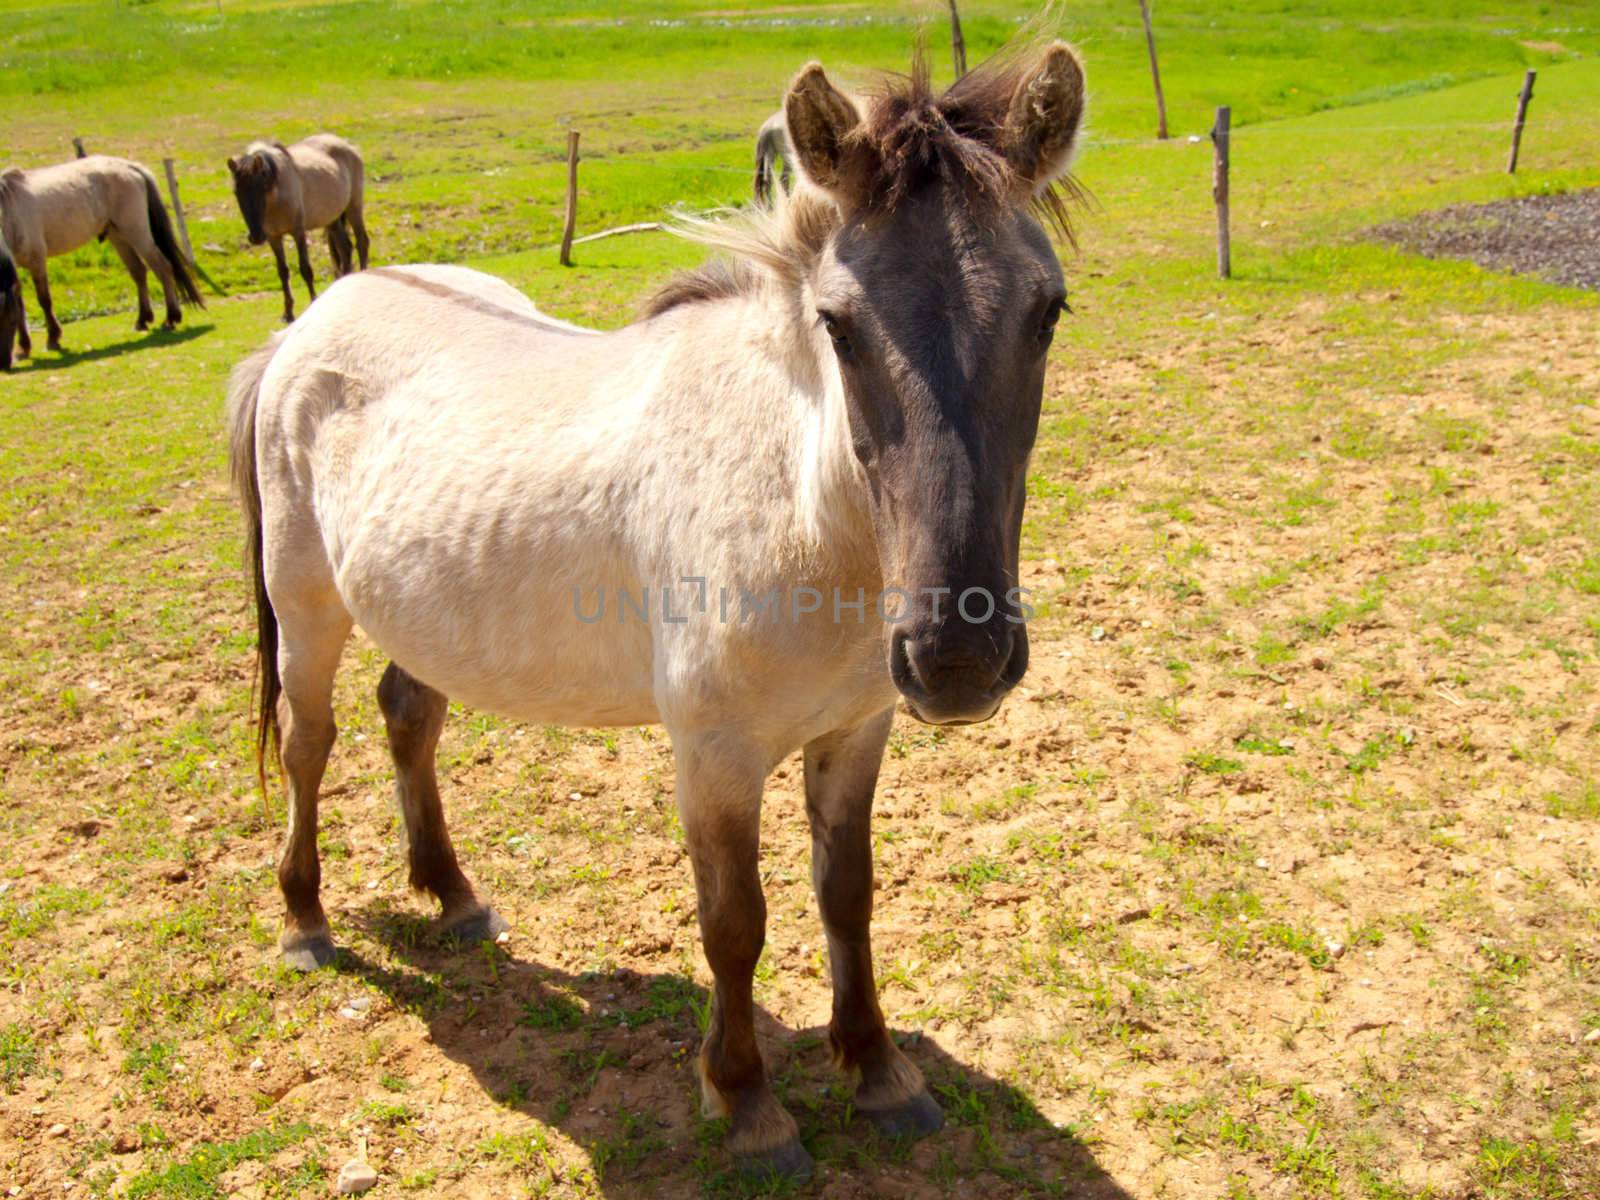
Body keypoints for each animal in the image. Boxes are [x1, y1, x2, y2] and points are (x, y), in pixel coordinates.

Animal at [0, 153, 204, 356]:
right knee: (139, 272)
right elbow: (20, 304)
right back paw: (142, 319)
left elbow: (44, 300)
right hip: (118, 236)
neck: (9, 211)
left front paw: (53, 338)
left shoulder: (37, 260)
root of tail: (130, 166)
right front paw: (24, 347)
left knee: (162, 267)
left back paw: (171, 318)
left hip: (137, 233)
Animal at [228, 135, 371, 324]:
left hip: (354, 207)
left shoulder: (298, 232)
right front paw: (288, 313)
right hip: (332, 219)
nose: (256, 236)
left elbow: (305, 269)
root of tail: (348, 145)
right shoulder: (274, 237)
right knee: (345, 248)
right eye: (237, 192)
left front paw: (313, 302)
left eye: (261, 188)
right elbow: (283, 272)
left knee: (361, 242)